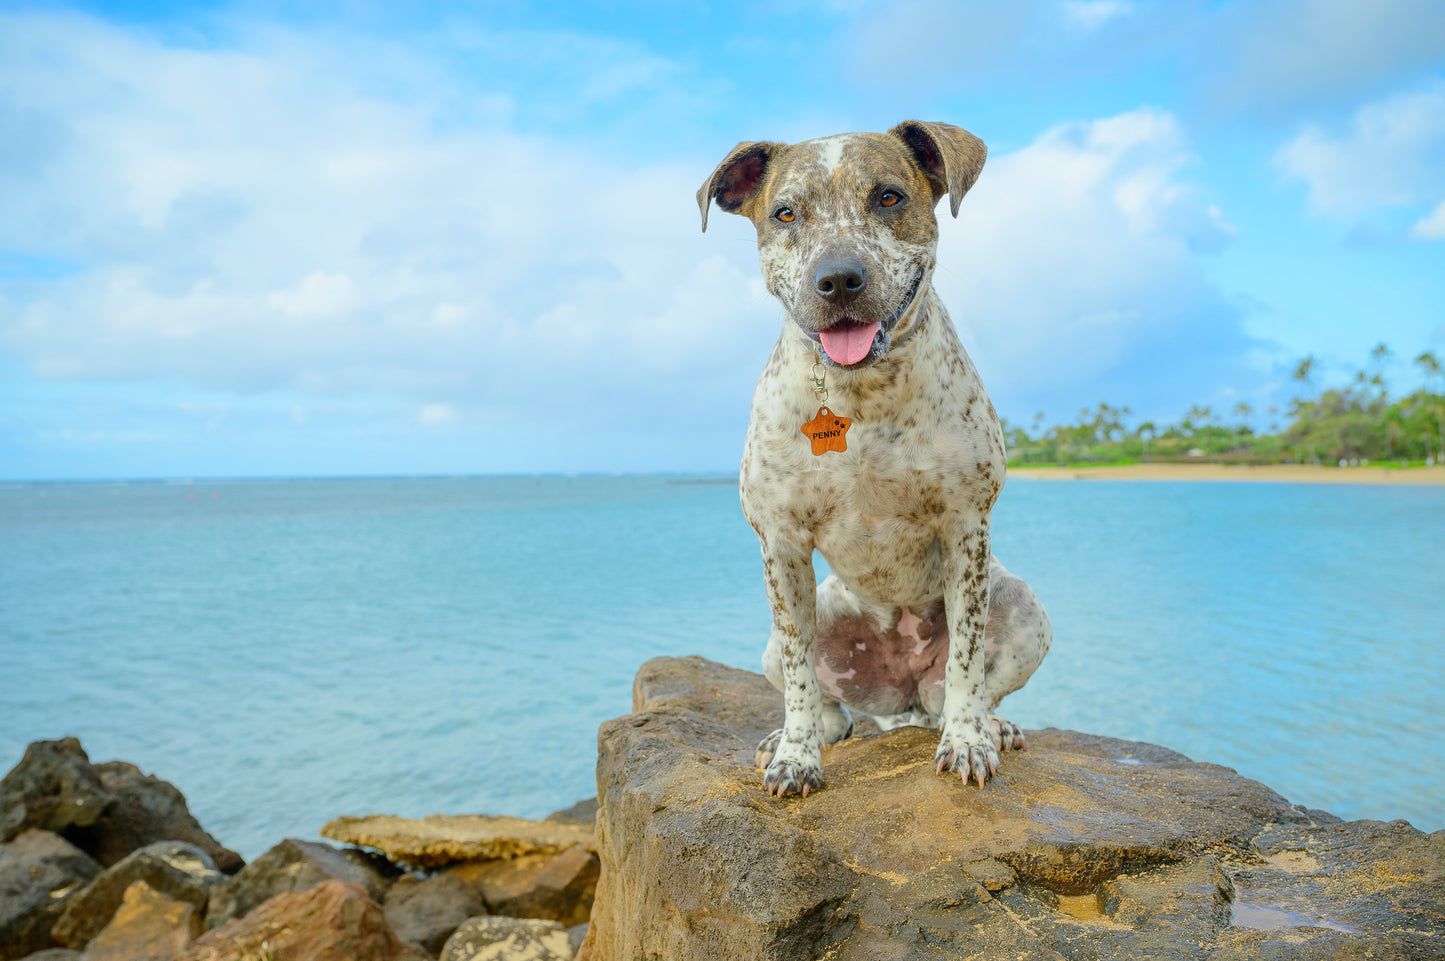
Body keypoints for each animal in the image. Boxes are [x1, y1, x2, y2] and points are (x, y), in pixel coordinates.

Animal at [696, 117, 1051, 791]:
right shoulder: (780, 544)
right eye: (785, 212)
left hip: (1022, 607)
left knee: (965, 687)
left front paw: (968, 741)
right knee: (830, 703)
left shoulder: (966, 526)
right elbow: (802, 677)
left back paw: (990, 725)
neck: (860, 395)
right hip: (800, 625)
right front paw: (796, 755)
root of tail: (902, 689)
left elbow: (967, 661)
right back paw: (801, 734)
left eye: (889, 197)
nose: (838, 279)